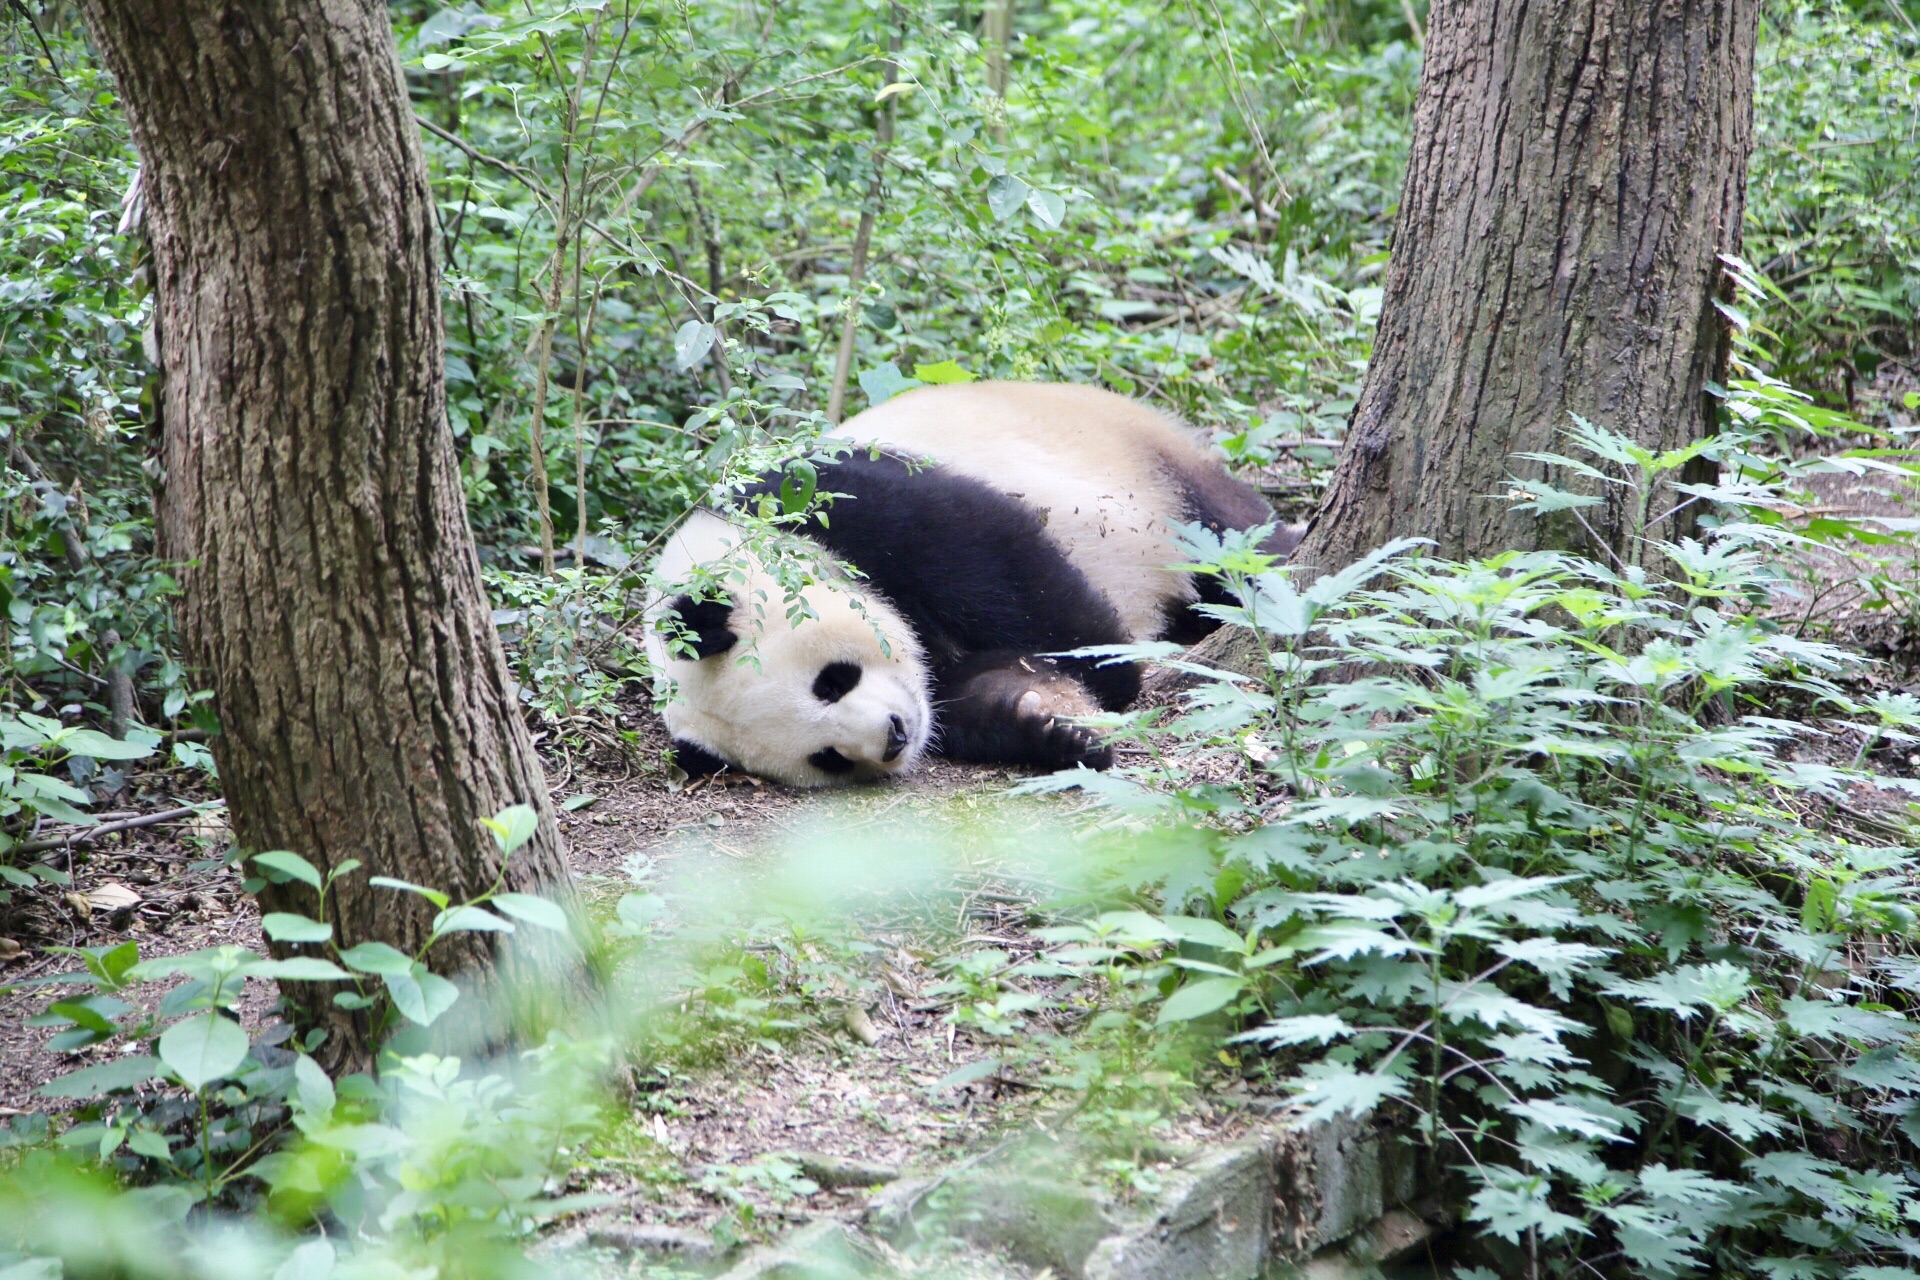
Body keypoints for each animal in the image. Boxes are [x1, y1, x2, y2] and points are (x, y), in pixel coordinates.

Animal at [648, 379, 1305, 786]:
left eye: (831, 682)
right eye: (828, 756)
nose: (894, 736)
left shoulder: (825, 499)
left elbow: (991, 558)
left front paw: (1108, 670)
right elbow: (967, 693)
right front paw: (1049, 728)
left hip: (1141, 464)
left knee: (1228, 533)